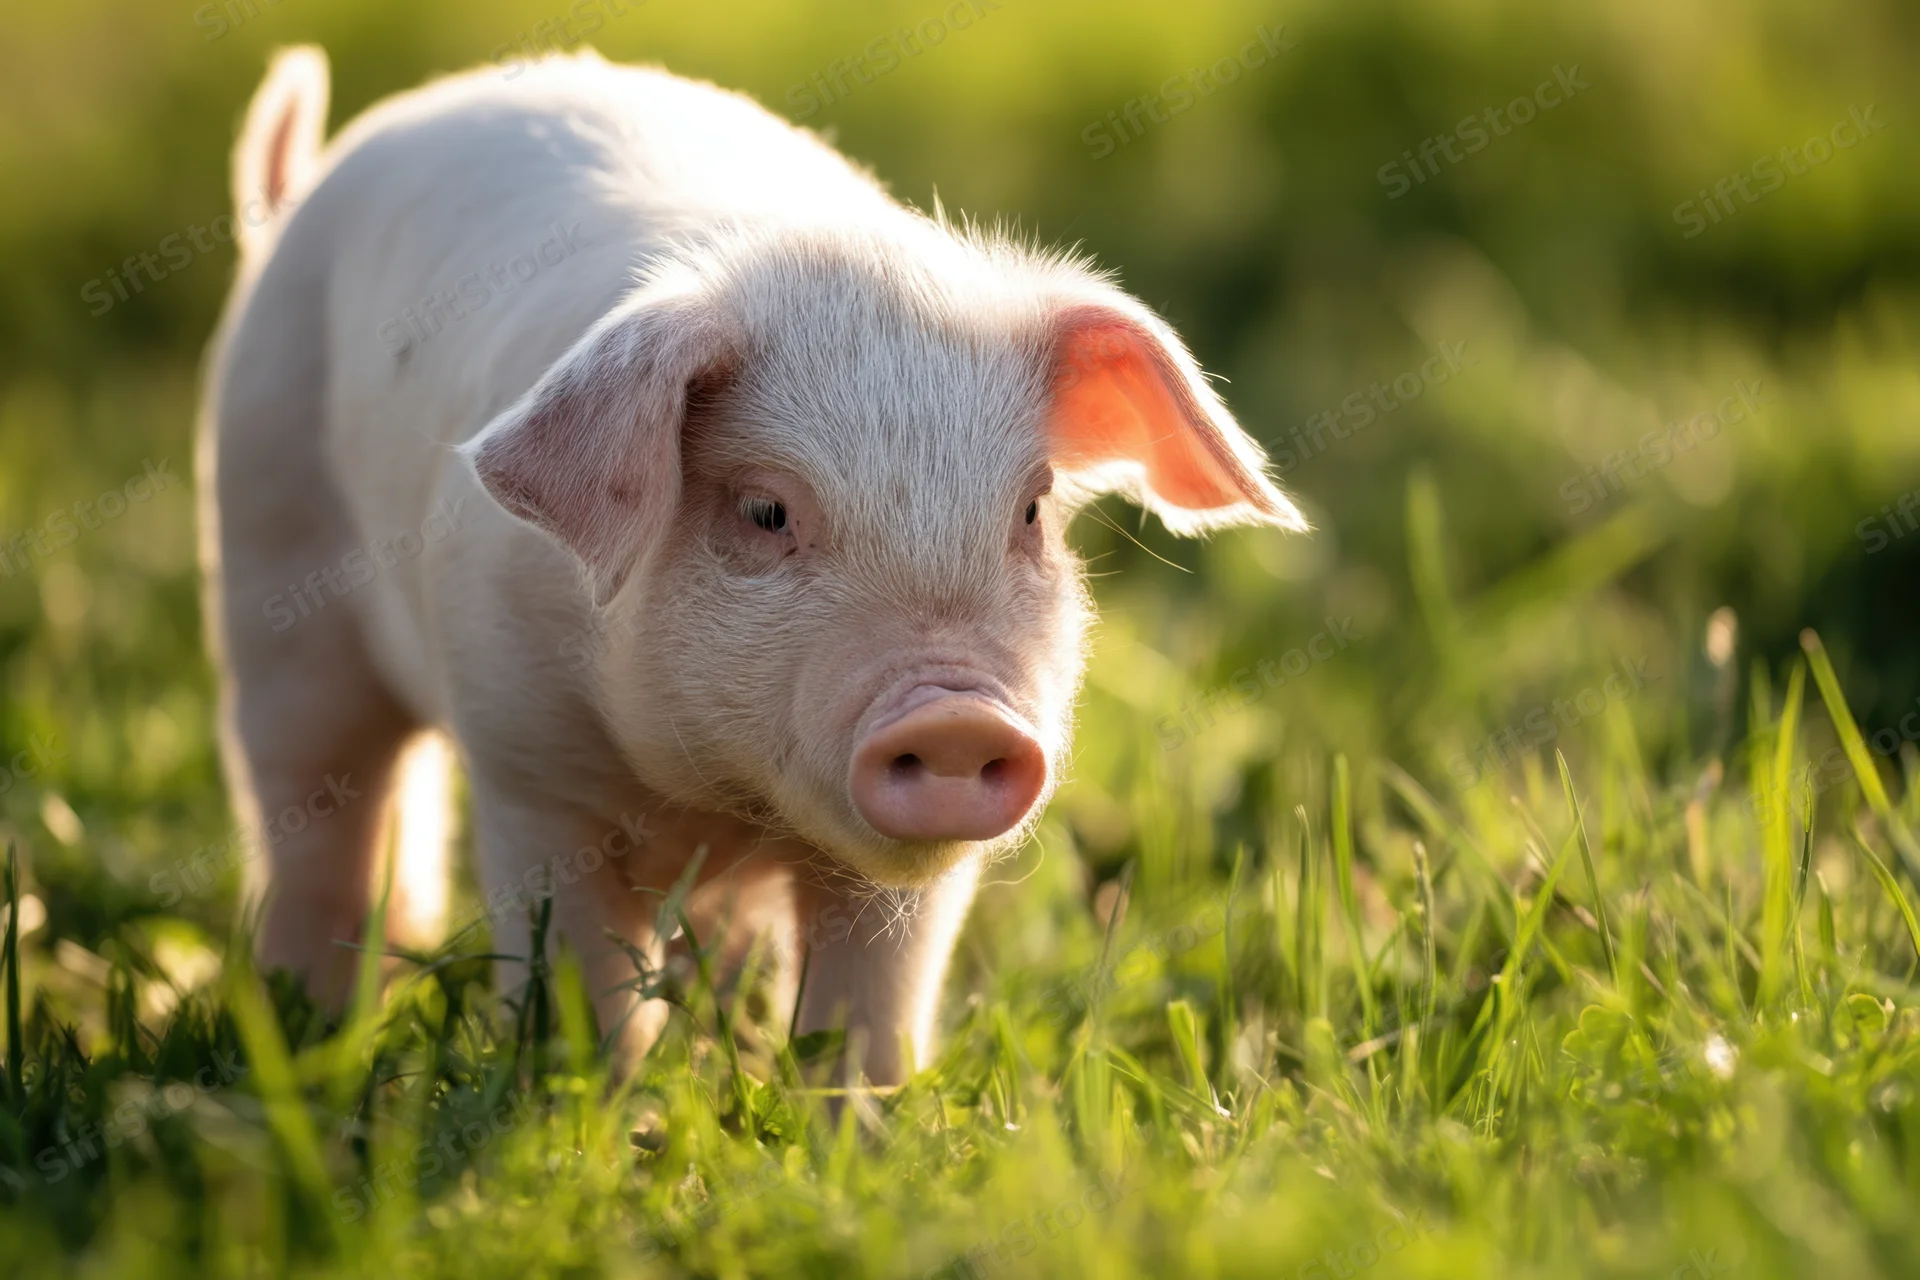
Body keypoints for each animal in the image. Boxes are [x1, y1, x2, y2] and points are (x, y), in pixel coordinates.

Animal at [200, 46, 1305, 1084]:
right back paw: (310, 1016)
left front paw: (860, 1126)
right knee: (320, 799)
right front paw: (593, 1109)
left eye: (1030, 512)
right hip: (267, 560)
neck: (720, 798)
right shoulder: (526, 768)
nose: (956, 714)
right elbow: (581, 978)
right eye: (767, 510)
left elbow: (869, 1006)